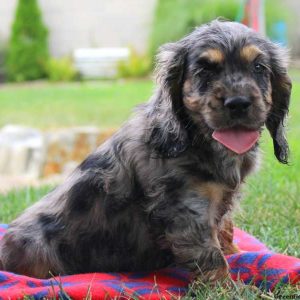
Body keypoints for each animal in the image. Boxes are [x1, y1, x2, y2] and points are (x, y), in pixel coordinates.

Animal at [0, 21, 292, 282]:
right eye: (204, 71)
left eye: (258, 68)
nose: (238, 103)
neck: (196, 139)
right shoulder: (188, 210)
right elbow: (211, 256)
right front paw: (228, 287)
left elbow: (225, 230)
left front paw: (236, 252)